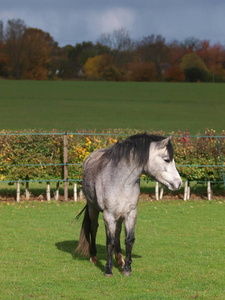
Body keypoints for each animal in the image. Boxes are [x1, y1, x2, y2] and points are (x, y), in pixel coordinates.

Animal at [75, 134, 181, 276]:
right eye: (166, 159)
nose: (179, 183)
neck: (121, 181)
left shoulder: (131, 213)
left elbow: (129, 240)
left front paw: (127, 268)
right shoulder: (108, 215)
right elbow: (110, 242)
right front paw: (108, 270)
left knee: (117, 232)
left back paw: (119, 259)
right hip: (93, 208)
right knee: (93, 228)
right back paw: (93, 257)